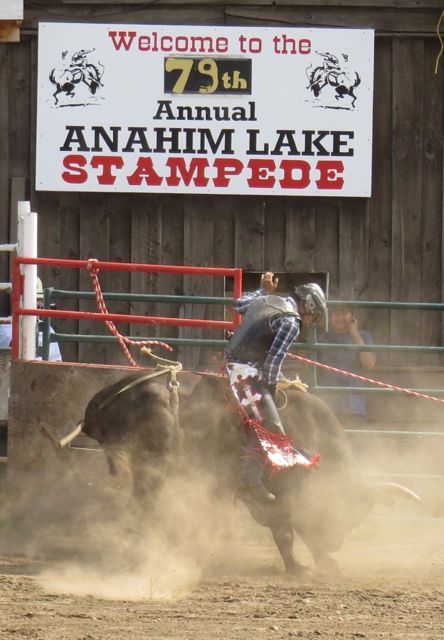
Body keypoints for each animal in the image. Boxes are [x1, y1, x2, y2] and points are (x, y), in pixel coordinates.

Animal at [76, 370, 420, 576]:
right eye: (347, 511)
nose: (336, 543)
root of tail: (109, 394)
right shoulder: (286, 495)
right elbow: (288, 532)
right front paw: (304, 566)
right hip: (152, 471)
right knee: (139, 509)